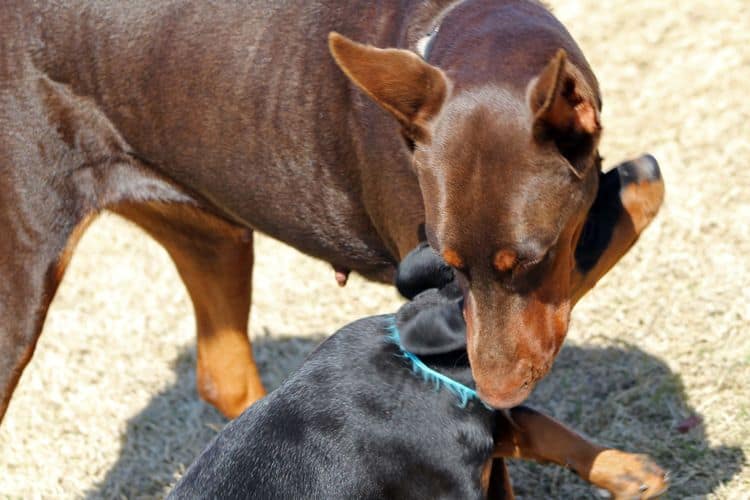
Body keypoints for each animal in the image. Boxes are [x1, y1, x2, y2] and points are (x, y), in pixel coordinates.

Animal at [0, 0, 664, 422]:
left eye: (532, 259)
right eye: (451, 266)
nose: (497, 395)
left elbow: (634, 191)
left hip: (211, 235)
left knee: (224, 376)